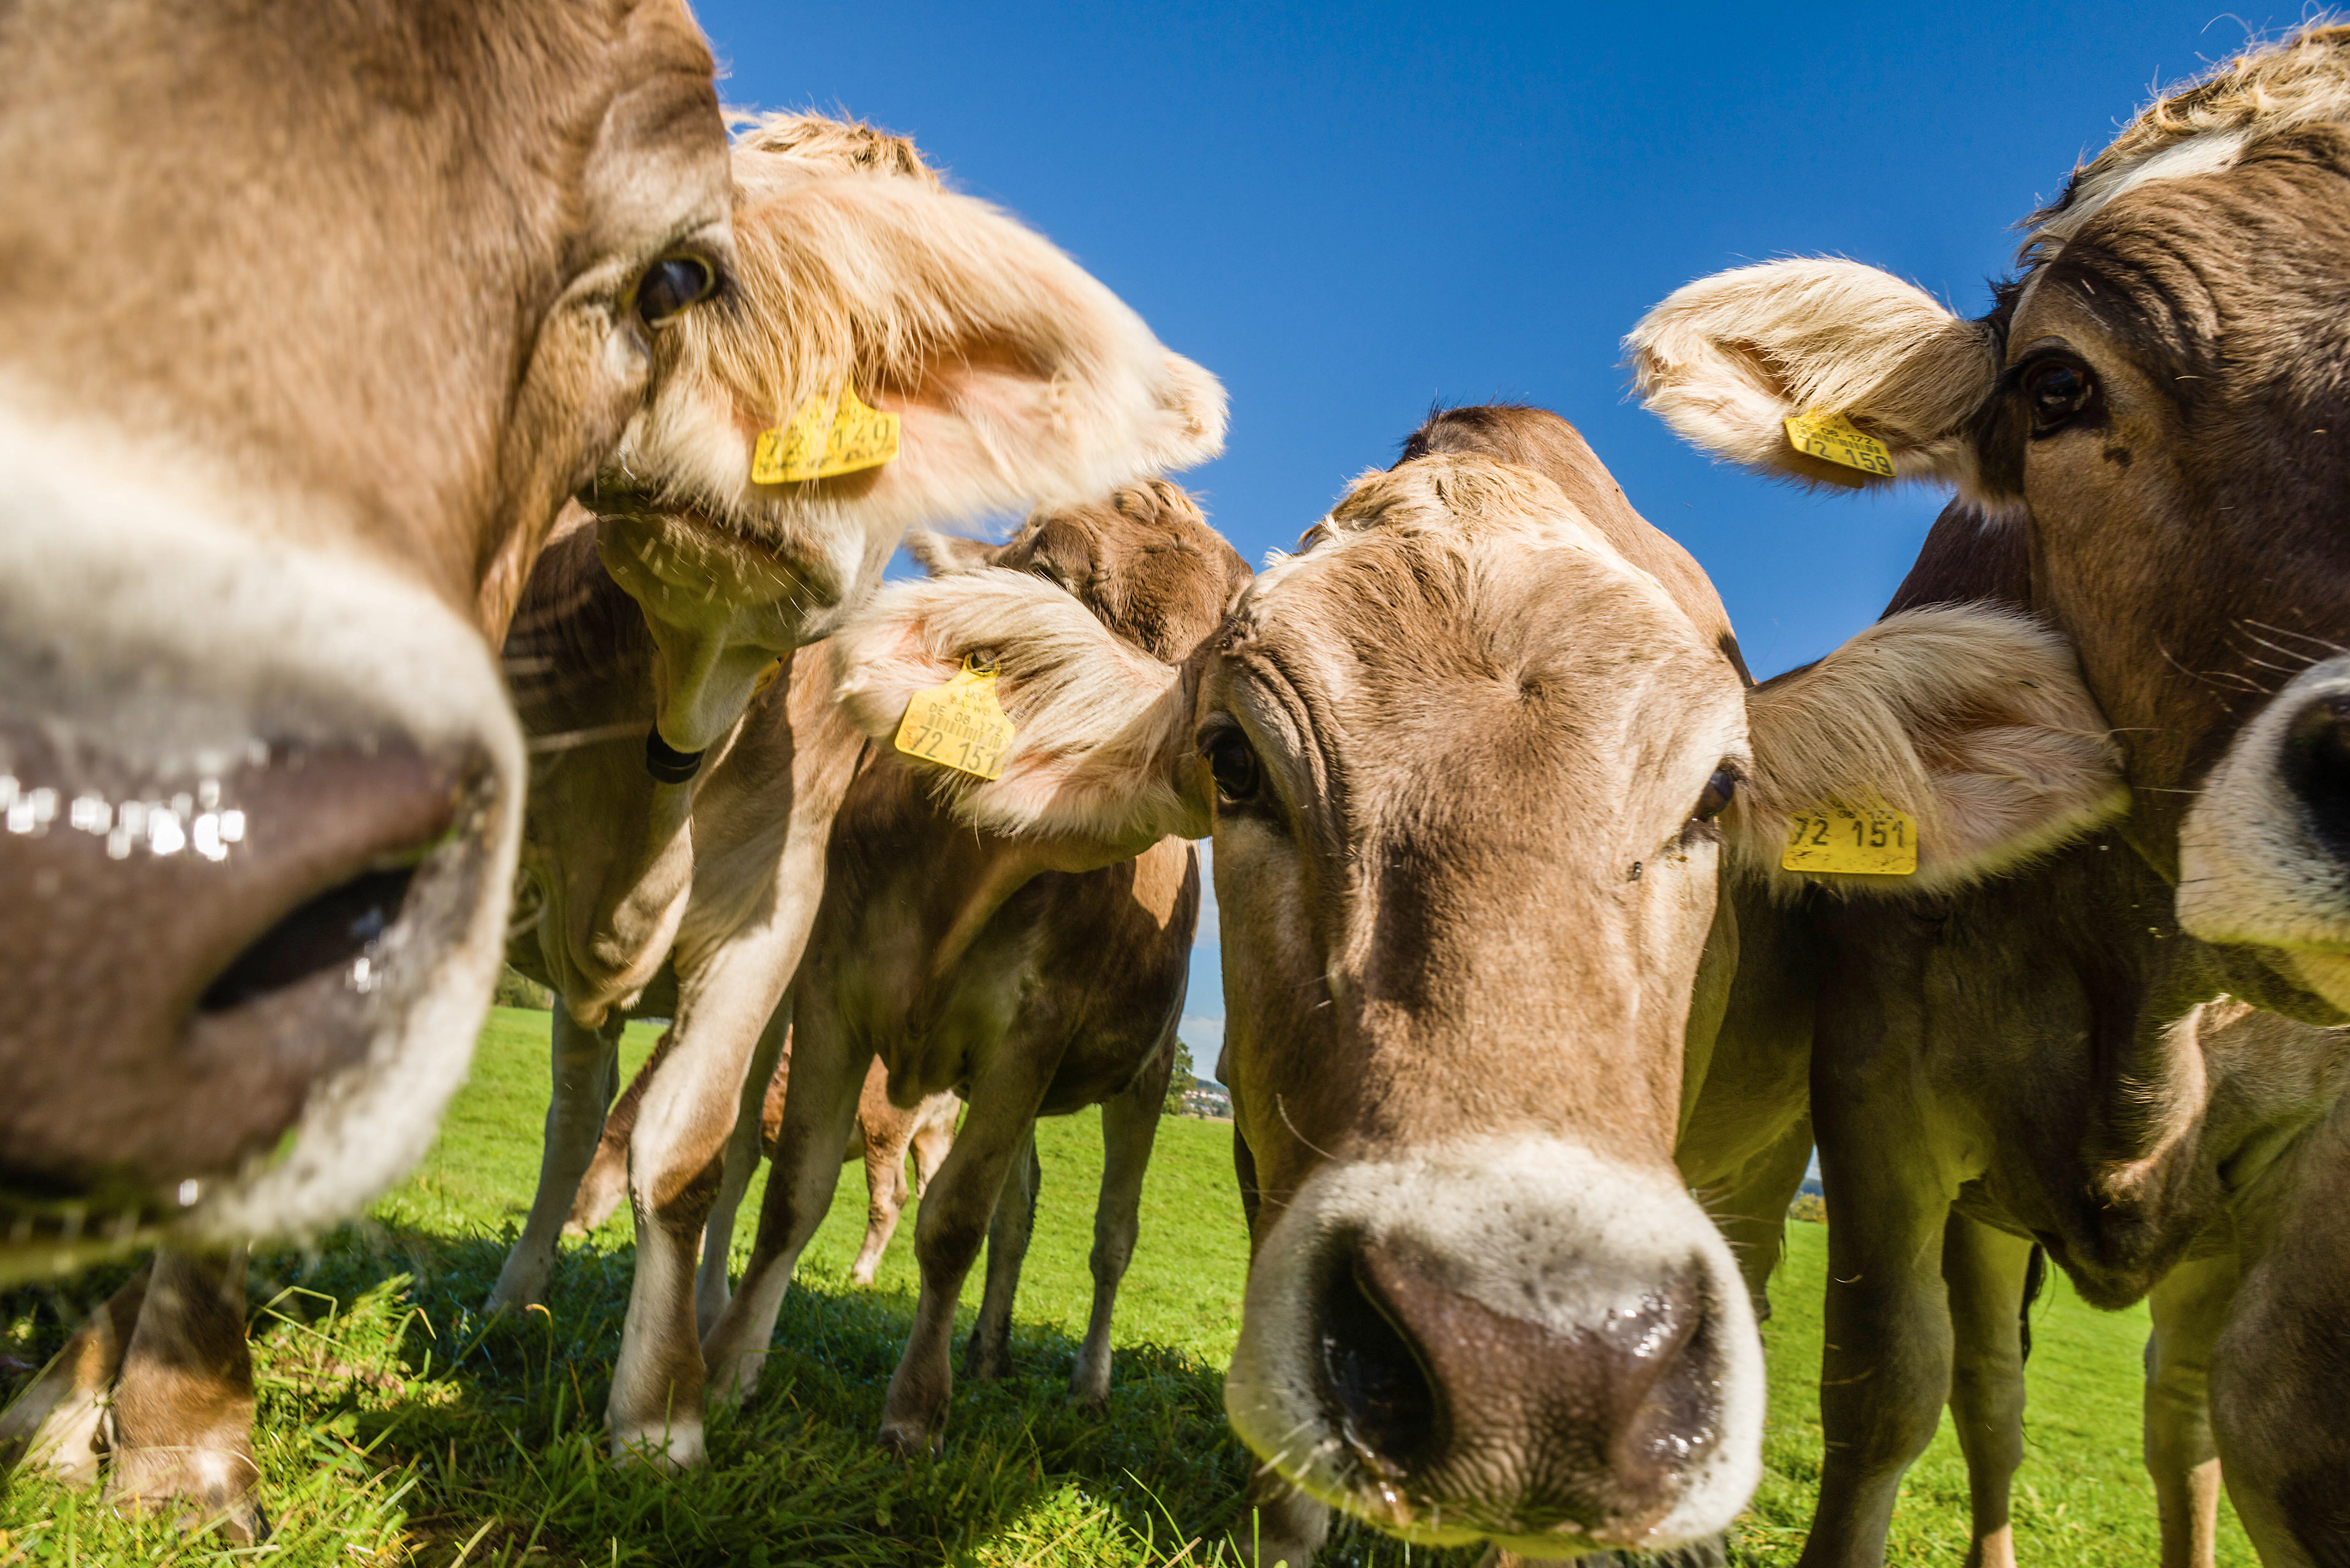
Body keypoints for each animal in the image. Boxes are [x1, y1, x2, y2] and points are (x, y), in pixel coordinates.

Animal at [484, 115, 1226, 1467]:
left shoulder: (924, 999)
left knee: (1099, 1232)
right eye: (1053, 576)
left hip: (1144, 1081)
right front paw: (721, 1370)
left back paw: (1066, 1376)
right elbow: (780, 1185)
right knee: (589, 1111)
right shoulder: (823, 990)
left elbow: (897, 1207)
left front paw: (869, 1412)